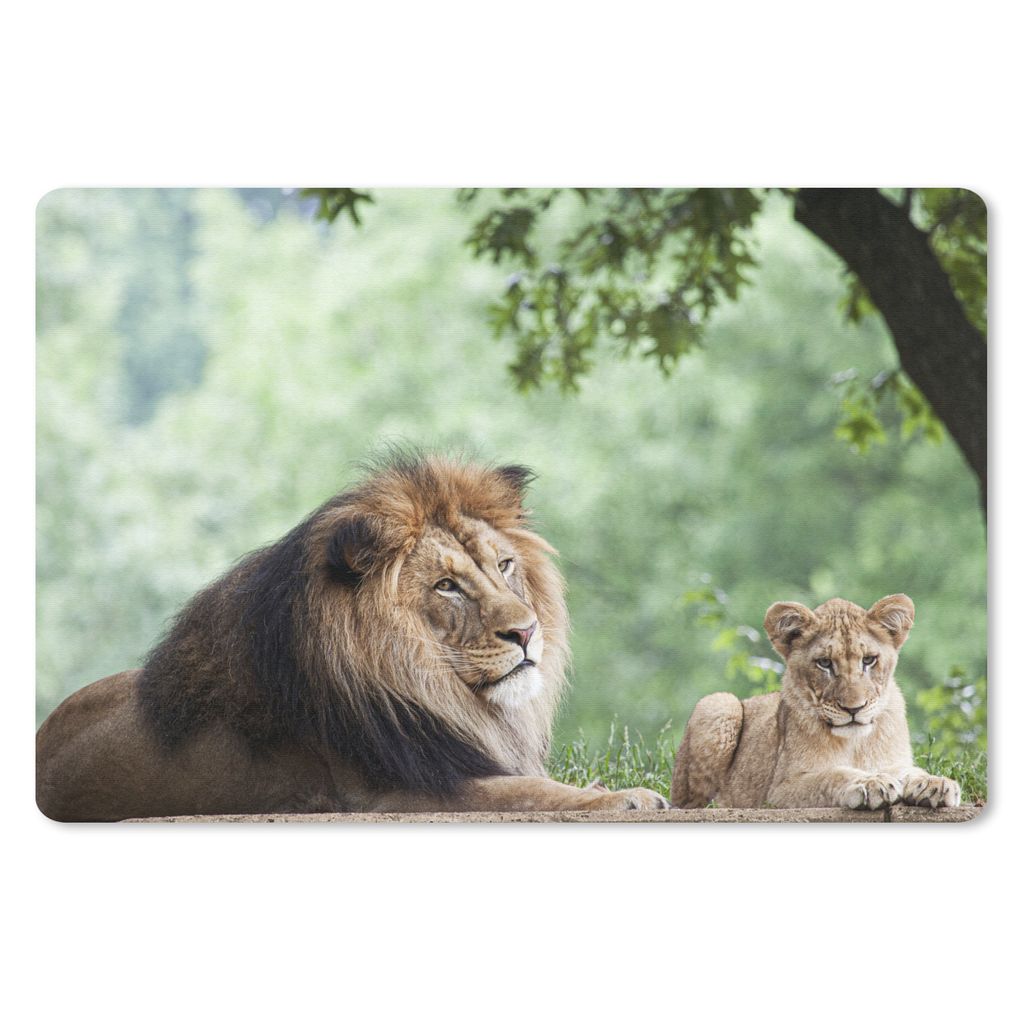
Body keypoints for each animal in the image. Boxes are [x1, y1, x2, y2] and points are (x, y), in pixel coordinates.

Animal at [37, 454, 668, 821]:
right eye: (446, 586)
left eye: (505, 565)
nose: (527, 631)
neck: (433, 686)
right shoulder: (396, 791)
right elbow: (531, 791)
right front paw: (623, 797)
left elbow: (540, 781)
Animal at [670, 594, 962, 810]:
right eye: (824, 663)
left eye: (869, 660)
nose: (854, 708)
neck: (856, 743)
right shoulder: (779, 791)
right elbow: (831, 775)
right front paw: (870, 783)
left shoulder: (895, 762)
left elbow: (910, 771)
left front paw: (935, 783)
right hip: (719, 703)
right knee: (693, 802)